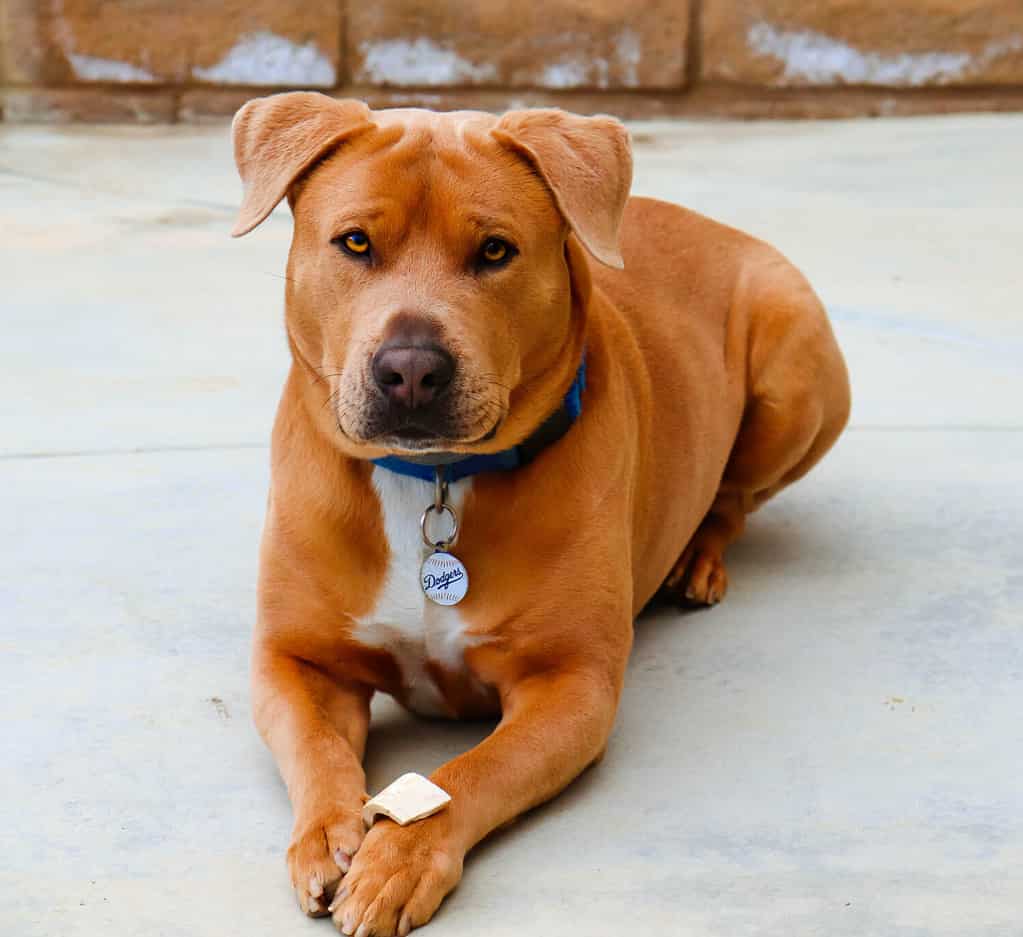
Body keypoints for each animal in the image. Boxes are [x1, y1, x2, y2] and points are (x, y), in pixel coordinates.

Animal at [230, 89, 847, 937]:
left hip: (797, 378)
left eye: (495, 251)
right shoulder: (295, 659)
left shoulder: (570, 684)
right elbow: (318, 750)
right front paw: (328, 832)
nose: (410, 369)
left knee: (735, 497)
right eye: (354, 242)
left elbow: (470, 772)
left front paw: (398, 857)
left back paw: (697, 559)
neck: (434, 482)